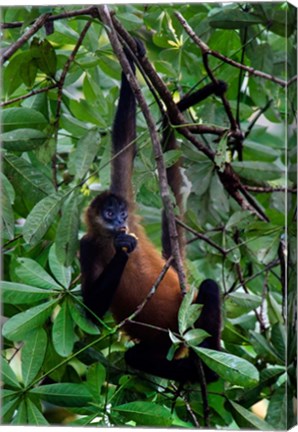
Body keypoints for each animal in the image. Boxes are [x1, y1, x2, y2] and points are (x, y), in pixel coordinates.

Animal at [79, 40, 226, 384]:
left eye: (120, 212)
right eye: (108, 214)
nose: (120, 221)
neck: (105, 239)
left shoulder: (128, 204)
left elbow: (125, 141)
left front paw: (132, 58)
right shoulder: (86, 245)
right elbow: (89, 312)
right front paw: (123, 250)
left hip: (189, 314)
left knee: (209, 287)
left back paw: (207, 365)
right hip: (162, 342)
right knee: (135, 357)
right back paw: (195, 370)